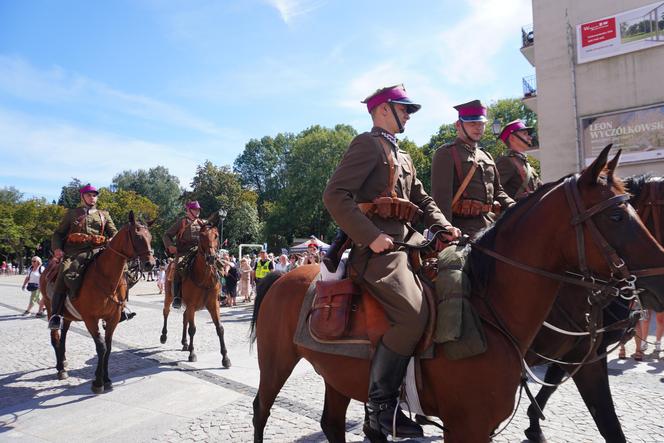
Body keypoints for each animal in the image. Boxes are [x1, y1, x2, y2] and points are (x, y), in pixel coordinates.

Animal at [40, 213, 156, 394]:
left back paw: (64, 361)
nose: (150, 264)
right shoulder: (90, 319)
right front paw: (98, 382)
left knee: (64, 336)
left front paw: (106, 379)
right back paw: (60, 369)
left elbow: (108, 347)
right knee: (55, 337)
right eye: (137, 236)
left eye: (150, 237)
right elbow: (101, 347)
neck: (105, 276)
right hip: (51, 307)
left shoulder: (113, 318)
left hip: (68, 315)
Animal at [158, 225, 231, 368]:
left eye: (216, 235)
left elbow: (220, 328)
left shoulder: (214, 304)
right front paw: (192, 354)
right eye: (202, 236)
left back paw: (185, 343)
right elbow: (192, 329)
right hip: (169, 297)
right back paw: (164, 336)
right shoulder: (191, 304)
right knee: (166, 312)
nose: (211, 258)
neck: (204, 276)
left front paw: (225, 358)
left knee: (184, 317)